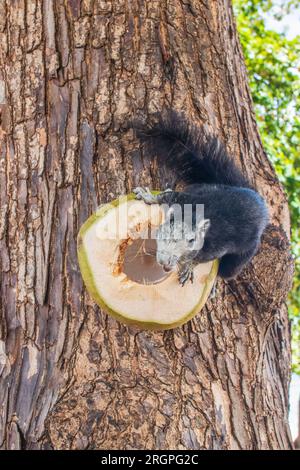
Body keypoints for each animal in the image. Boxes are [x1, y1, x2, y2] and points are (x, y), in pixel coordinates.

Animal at [132, 111, 268, 286]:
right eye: (167, 231)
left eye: (192, 240)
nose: (165, 263)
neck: (196, 213)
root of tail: (252, 193)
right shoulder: (182, 199)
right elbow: (165, 195)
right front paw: (147, 196)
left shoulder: (216, 246)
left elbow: (201, 258)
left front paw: (188, 267)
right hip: (203, 188)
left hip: (244, 254)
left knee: (227, 271)